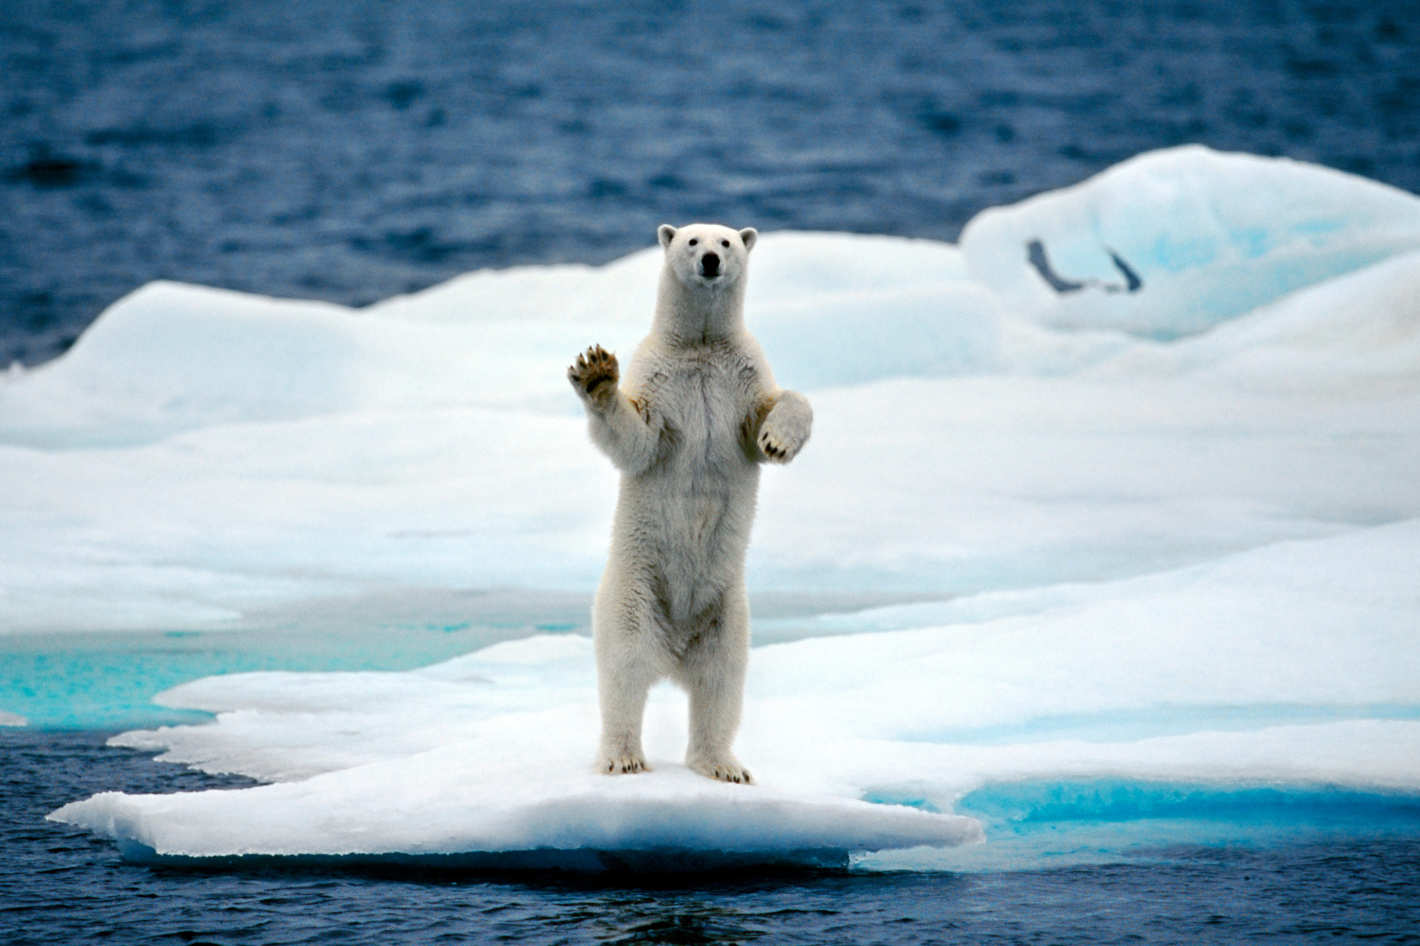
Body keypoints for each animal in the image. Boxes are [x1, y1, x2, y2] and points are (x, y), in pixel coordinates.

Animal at [565, 221, 812, 778]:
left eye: (727, 242)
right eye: (692, 241)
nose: (711, 262)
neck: (699, 346)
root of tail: (674, 650)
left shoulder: (742, 379)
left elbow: (777, 409)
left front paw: (778, 440)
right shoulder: (660, 381)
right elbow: (636, 441)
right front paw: (596, 374)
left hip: (727, 611)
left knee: (721, 682)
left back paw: (722, 765)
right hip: (634, 591)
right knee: (626, 668)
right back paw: (624, 757)